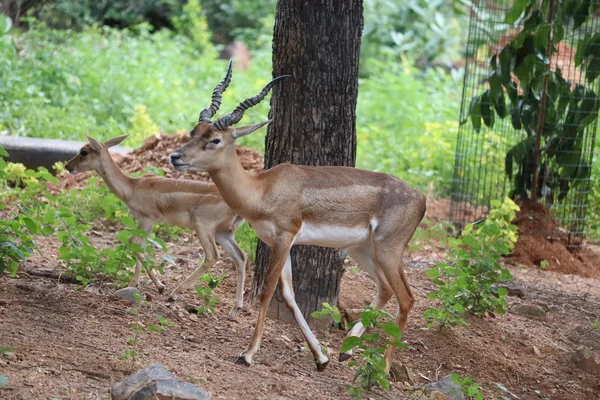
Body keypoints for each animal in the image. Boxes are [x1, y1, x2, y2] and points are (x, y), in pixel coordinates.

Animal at [66, 136, 251, 318]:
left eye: (84, 151)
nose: (68, 167)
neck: (131, 188)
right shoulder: (146, 222)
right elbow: (141, 246)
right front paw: (134, 283)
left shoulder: (148, 218)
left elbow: (133, 241)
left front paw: (161, 286)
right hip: (223, 233)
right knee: (241, 256)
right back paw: (234, 309)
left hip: (203, 226)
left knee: (212, 256)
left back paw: (173, 294)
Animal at [168, 62, 426, 372]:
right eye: (194, 132)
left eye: (215, 139)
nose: (175, 157)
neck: (262, 189)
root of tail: (421, 198)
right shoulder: (281, 243)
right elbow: (290, 297)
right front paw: (321, 357)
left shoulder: (283, 236)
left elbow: (267, 291)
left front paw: (247, 353)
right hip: (362, 249)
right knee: (386, 290)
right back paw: (346, 351)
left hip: (388, 249)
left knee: (407, 298)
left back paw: (382, 369)